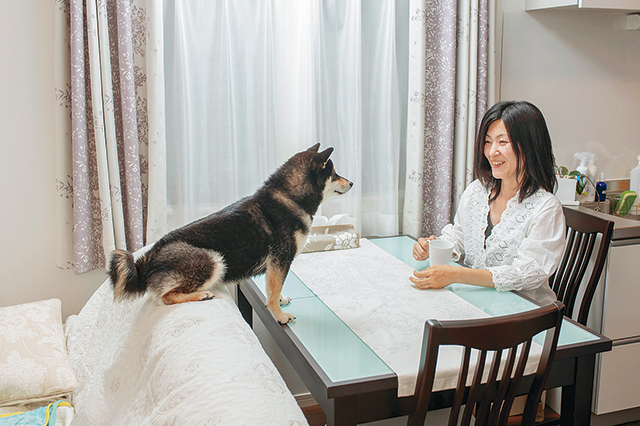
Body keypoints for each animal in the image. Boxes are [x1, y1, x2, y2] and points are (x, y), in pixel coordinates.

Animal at [108, 145, 352, 324]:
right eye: (334, 173)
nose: (351, 182)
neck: (290, 197)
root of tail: (147, 258)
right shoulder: (280, 259)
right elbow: (274, 290)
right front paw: (279, 316)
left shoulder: (275, 264)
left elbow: (273, 288)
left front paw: (280, 300)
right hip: (213, 260)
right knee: (166, 297)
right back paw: (200, 295)